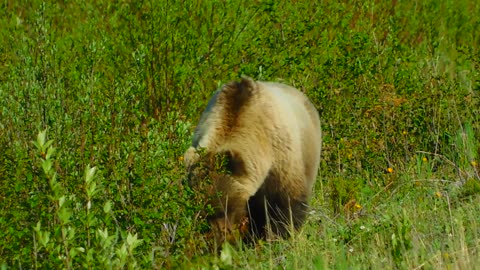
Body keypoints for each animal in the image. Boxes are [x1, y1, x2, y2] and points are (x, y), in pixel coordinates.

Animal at [185, 76, 322, 245]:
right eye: (202, 209)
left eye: (225, 207)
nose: (220, 237)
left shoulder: (281, 159)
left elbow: (285, 206)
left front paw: (277, 237)